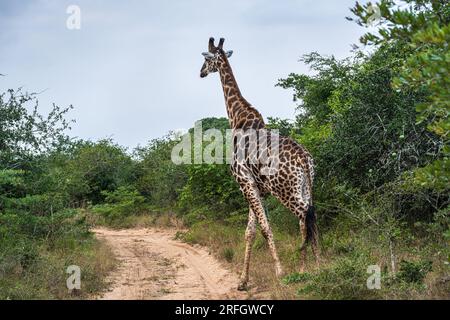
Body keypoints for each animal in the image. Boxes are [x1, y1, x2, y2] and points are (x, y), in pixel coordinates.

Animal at [200, 37, 320, 290]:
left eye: (206, 60)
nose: (201, 73)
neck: (237, 118)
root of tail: (304, 160)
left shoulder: (244, 182)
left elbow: (264, 228)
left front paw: (280, 273)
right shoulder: (256, 187)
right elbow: (250, 232)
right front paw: (242, 281)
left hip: (286, 190)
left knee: (304, 217)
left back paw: (305, 269)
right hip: (306, 187)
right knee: (312, 217)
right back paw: (317, 265)